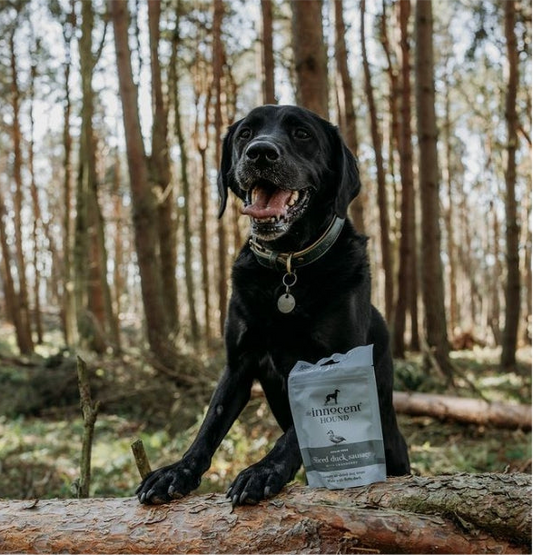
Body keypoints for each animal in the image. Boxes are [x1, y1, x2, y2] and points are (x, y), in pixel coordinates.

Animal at [135, 105, 410, 508]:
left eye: (302, 134)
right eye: (245, 134)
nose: (261, 153)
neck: (288, 267)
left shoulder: (338, 364)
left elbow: (299, 429)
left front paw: (263, 470)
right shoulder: (238, 363)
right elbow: (211, 422)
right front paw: (177, 470)